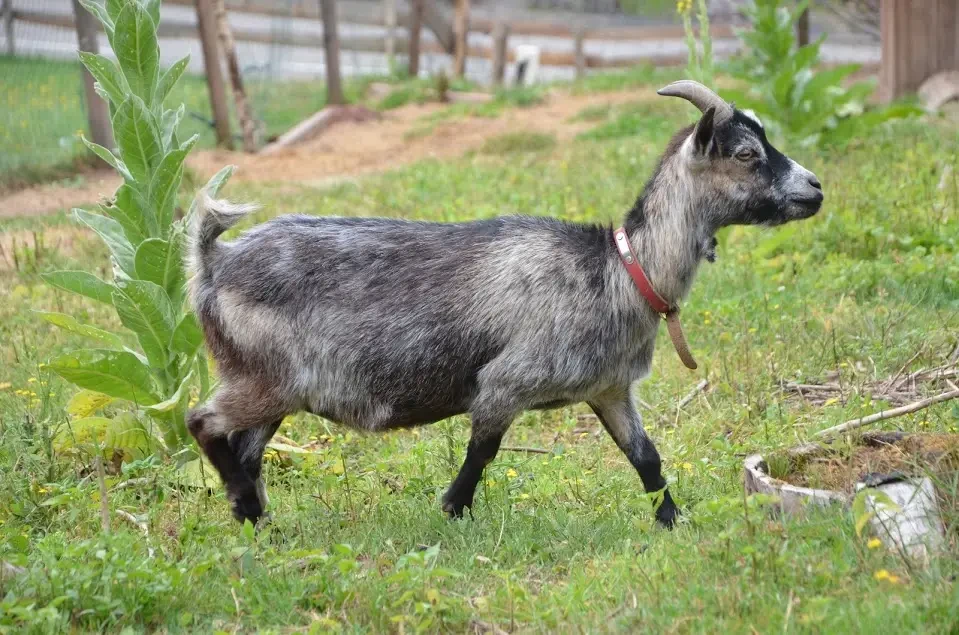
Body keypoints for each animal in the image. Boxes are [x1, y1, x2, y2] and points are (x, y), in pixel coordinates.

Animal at [186, 81, 824, 528]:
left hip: (268, 386)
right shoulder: (506, 383)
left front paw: (674, 521)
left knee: (245, 448)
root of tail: (214, 263)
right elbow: (483, 451)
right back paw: (244, 503)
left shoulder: (610, 389)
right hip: (266, 378)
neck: (619, 271)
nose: (815, 188)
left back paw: (257, 520)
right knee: (202, 421)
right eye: (746, 154)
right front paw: (452, 509)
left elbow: (646, 457)